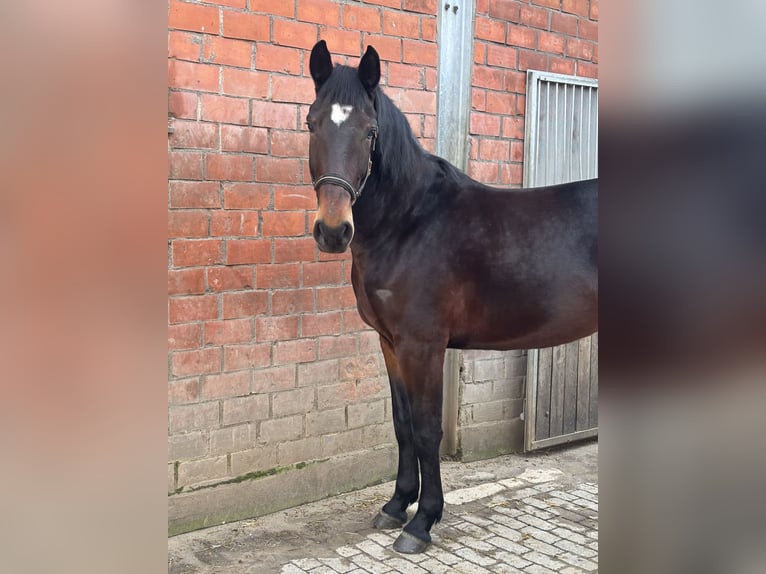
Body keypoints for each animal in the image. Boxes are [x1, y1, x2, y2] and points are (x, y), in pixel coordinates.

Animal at [306, 40, 598, 554]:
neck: (411, 221)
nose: (334, 231)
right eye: (312, 123)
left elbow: (427, 429)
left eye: (369, 132)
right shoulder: (390, 343)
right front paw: (395, 506)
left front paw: (422, 522)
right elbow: (402, 424)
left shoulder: (423, 345)